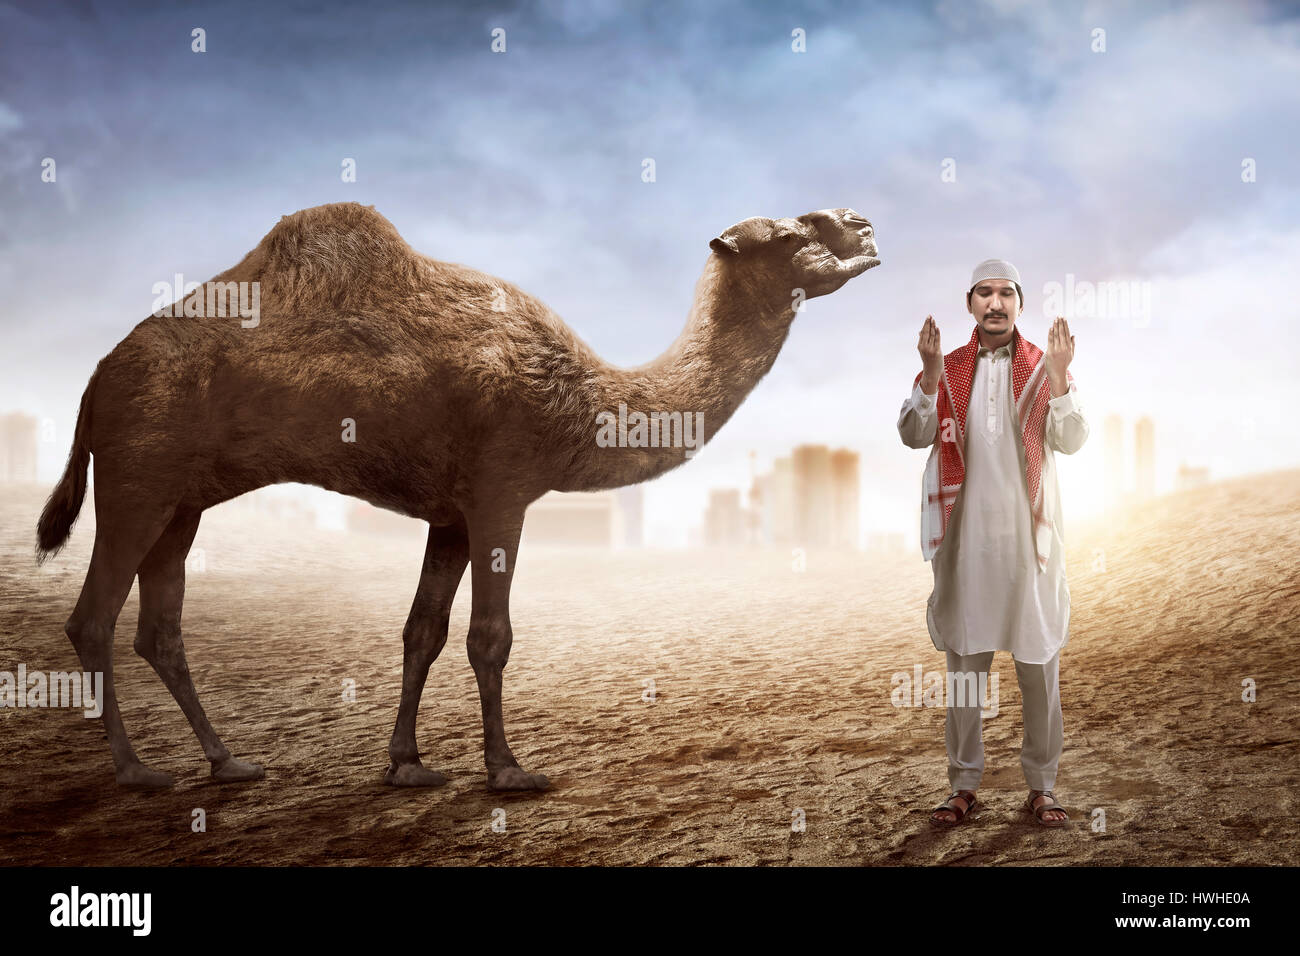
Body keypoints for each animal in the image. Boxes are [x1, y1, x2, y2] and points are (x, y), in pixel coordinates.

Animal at [32, 201, 883, 790]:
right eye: (792, 232)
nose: (864, 224)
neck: (579, 396)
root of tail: (96, 379)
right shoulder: (501, 490)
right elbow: (488, 636)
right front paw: (508, 771)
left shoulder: (449, 514)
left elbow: (422, 632)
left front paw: (406, 764)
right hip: (140, 473)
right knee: (91, 618)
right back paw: (138, 772)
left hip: (183, 500)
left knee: (160, 630)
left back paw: (228, 762)